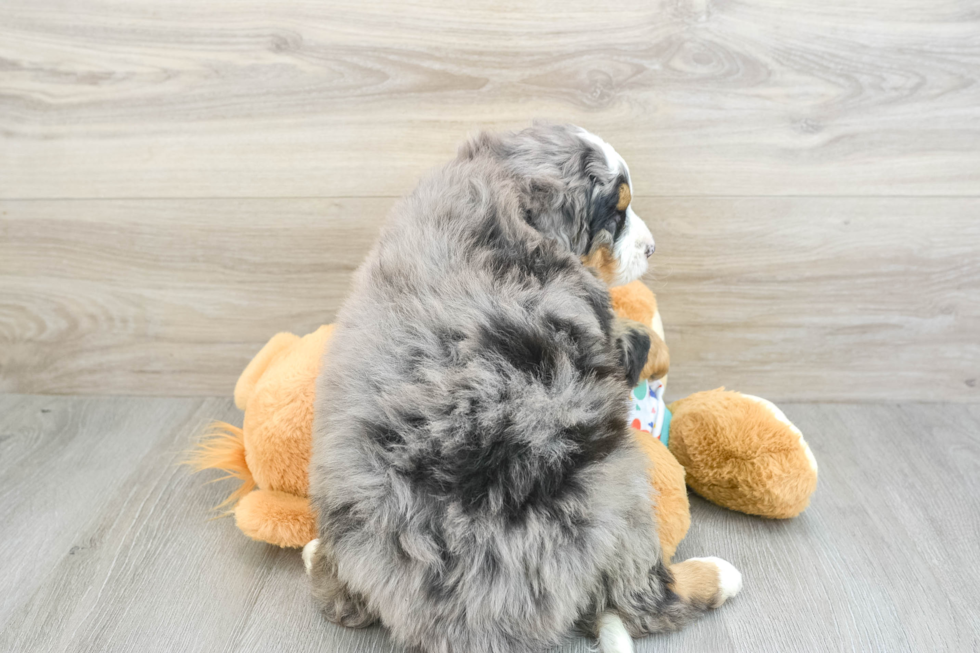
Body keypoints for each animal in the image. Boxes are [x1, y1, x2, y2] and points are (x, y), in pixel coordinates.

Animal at [302, 123, 740, 652]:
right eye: (615, 213)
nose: (652, 248)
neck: (492, 182)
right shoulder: (594, 316)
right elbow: (632, 335)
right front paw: (657, 349)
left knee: (339, 598)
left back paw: (314, 556)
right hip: (617, 487)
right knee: (642, 600)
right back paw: (717, 576)